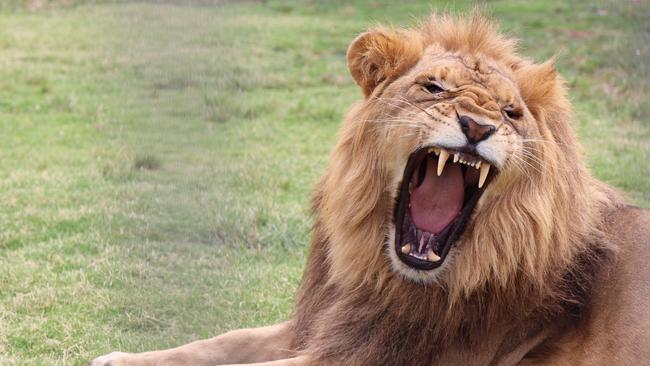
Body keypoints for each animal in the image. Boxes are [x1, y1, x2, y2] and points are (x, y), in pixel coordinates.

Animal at [87, 12, 648, 366]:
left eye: (511, 114)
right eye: (433, 88)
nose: (478, 126)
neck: (382, 275)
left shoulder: (384, 355)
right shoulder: (321, 324)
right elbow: (221, 342)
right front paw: (119, 358)